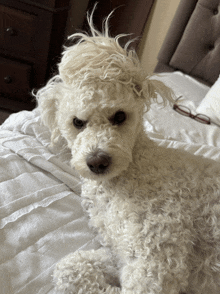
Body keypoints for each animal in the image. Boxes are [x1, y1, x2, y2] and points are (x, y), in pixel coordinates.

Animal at [37, 10, 220, 294]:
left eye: (120, 116)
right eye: (77, 122)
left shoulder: (156, 260)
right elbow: (69, 268)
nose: (97, 162)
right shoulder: (118, 250)